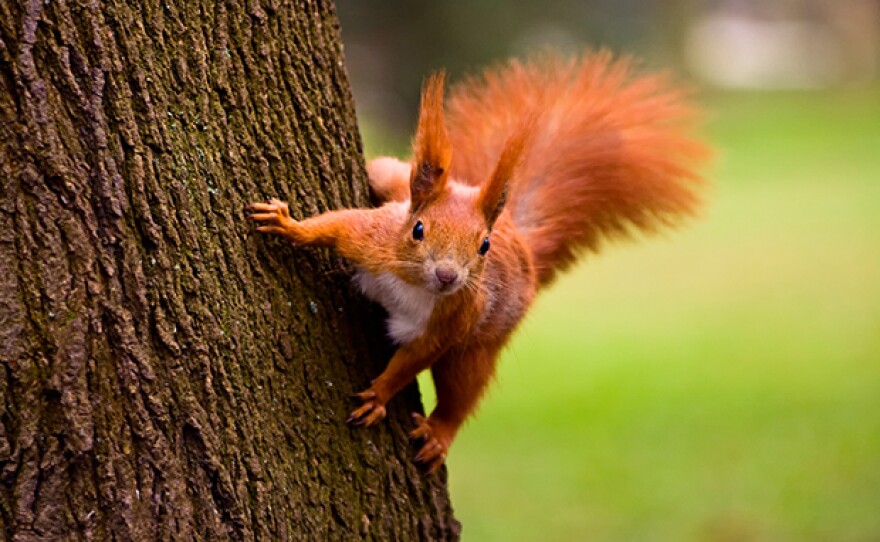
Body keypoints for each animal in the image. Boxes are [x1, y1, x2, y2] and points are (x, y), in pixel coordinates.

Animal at [247, 51, 707, 473]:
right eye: (418, 230)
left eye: (483, 246)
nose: (448, 276)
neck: (414, 285)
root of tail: (522, 244)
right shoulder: (373, 240)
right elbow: (335, 226)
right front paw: (288, 225)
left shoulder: (452, 321)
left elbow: (412, 360)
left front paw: (379, 396)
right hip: (393, 181)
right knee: (385, 172)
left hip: (479, 347)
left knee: (462, 391)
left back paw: (439, 433)